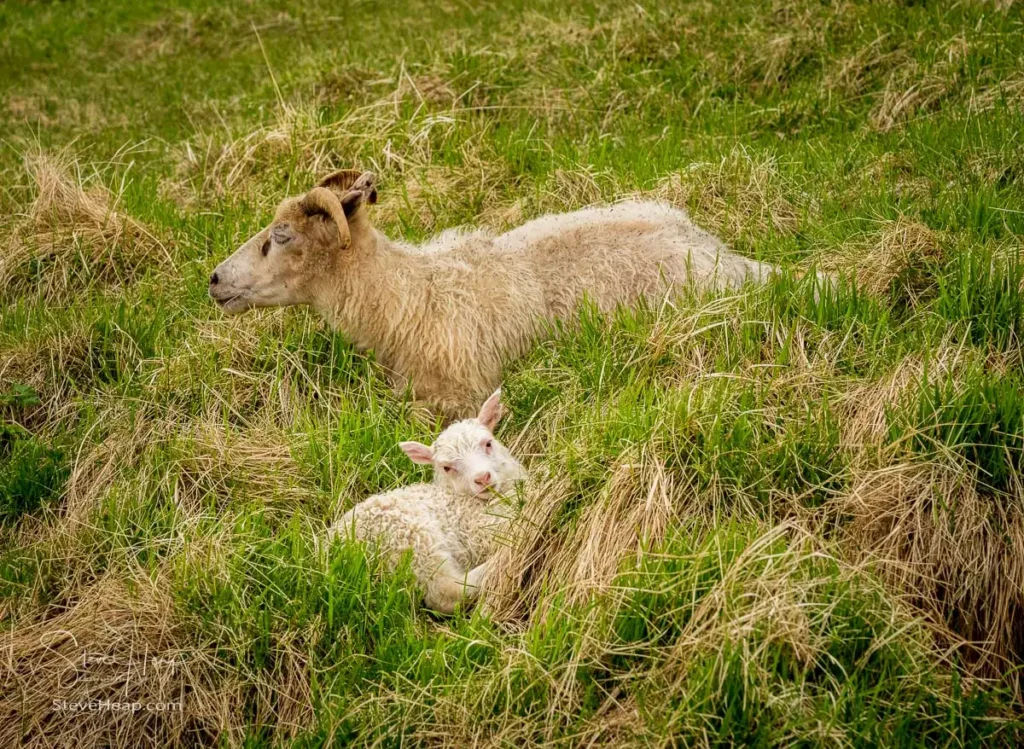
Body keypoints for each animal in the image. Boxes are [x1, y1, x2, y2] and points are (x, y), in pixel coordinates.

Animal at [327, 389, 524, 614]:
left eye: (488, 443)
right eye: (447, 467)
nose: (482, 478)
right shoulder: (482, 531)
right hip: (413, 541)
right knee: (445, 591)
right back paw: (493, 565)